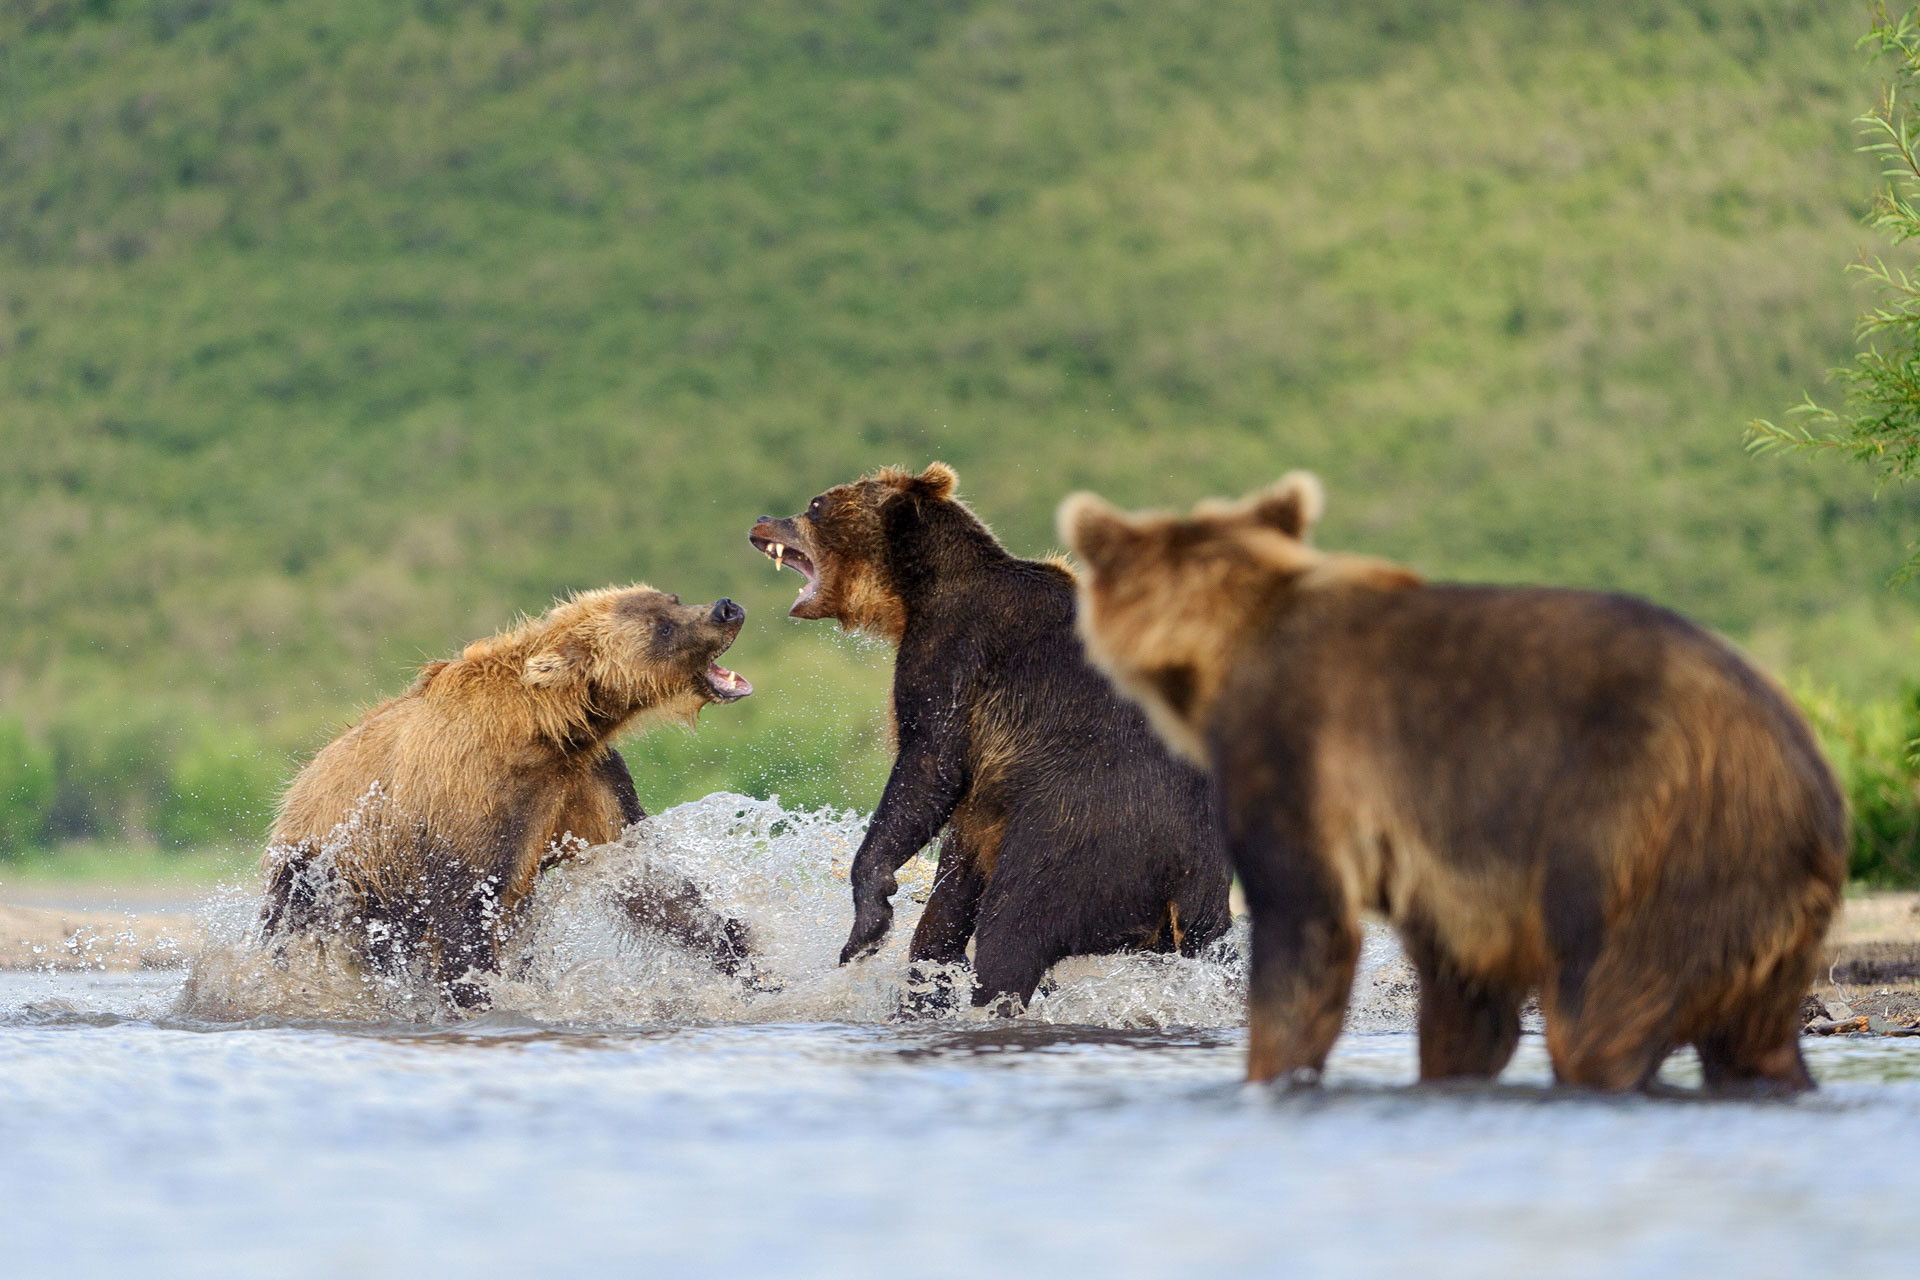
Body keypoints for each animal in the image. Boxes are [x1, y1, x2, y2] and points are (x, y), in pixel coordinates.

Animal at [263, 587, 756, 1005]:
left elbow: (654, 888)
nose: (727, 608)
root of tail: (296, 787)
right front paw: (478, 994)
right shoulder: (470, 801)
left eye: (672, 598)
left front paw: (746, 962)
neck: (548, 732)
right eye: (662, 627)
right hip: (329, 878)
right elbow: (462, 922)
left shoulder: (589, 786)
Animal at [748, 460, 1228, 1013]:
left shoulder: (954, 653)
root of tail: (1184, 875)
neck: (915, 594)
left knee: (1012, 932)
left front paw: (868, 921)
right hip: (1195, 893)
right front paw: (927, 974)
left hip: (1082, 836)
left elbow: (928, 766)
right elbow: (952, 885)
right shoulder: (988, 793)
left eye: (816, 504)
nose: (762, 519)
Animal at [1067, 475, 1843, 1097]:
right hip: (1762, 912)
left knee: (1602, 1012)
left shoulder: (1300, 757)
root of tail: (1816, 788)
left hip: (1645, 840)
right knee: (1754, 1042)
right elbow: (1463, 994)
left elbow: (1305, 929)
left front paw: (1270, 1074)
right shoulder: (1444, 862)